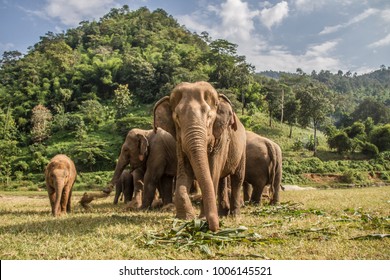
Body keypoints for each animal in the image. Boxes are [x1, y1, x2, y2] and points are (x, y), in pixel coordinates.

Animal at [154, 81, 245, 232]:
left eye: (209, 116)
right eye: (177, 117)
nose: (215, 228)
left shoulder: (221, 138)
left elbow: (212, 171)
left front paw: (202, 218)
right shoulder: (179, 142)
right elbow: (184, 171)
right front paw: (185, 219)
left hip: (242, 150)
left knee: (237, 178)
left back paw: (235, 215)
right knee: (222, 179)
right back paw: (223, 213)